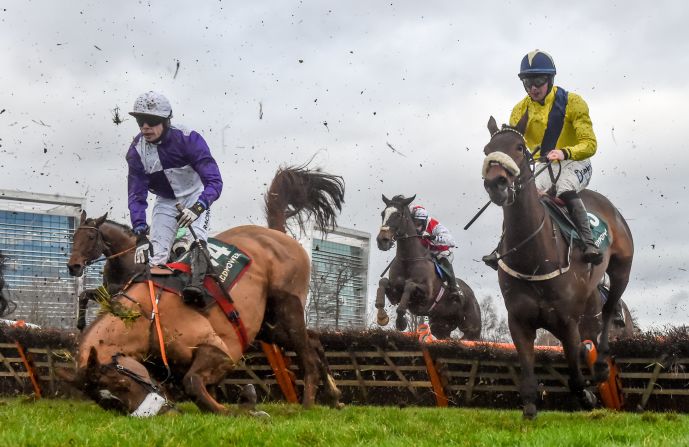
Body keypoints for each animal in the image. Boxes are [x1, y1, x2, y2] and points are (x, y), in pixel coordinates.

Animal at [63, 166, 344, 418]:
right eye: (110, 404)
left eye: (121, 384)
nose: (74, 265)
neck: (147, 316)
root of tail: (275, 232)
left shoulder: (220, 350)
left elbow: (194, 385)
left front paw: (244, 409)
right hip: (269, 325)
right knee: (314, 342)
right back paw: (334, 397)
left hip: (288, 307)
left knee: (308, 356)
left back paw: (307, 405)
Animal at [374, 195, 482, 340]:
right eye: (383, 214)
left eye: (398, 214)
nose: (382, 240)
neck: (408, 260)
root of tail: (472, 295)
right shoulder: (395, 294)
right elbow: (383, 282)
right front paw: (382, 317)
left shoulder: (426, 297)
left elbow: (409, 286)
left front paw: (401, 322)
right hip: (441, 326)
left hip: (472, 328)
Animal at [478, 116, 636, 420]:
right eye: (487, 149)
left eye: (519, 147)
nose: (496, 184)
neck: (534, 258)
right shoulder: (519, 321)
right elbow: (528, 373)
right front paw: (530, 408)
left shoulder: (566, 322)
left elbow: (575, 372)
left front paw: (587, 395)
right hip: (589, 297)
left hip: (622, 268)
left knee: (609, 310)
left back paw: (601, 365)